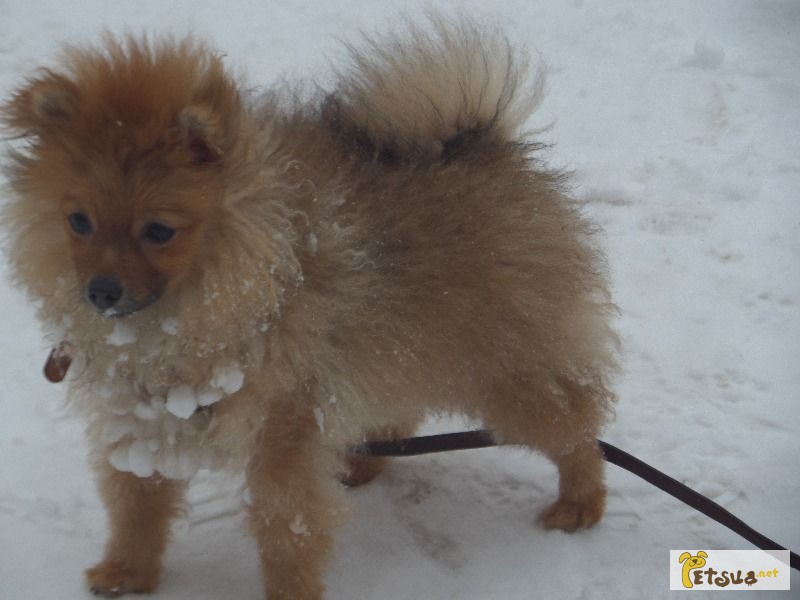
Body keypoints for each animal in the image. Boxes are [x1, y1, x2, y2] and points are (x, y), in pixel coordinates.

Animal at [1, 17, 620, 600]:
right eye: (78, 221)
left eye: (159, 231)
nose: (100, 291)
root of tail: (477, 138)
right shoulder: (141, 412)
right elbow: (136, 500)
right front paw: (127, 570)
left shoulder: (282, 424)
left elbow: (285, 523)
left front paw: (290, 589)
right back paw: (362, 459)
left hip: (502, 364)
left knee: (574, 422)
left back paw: (581, 499)